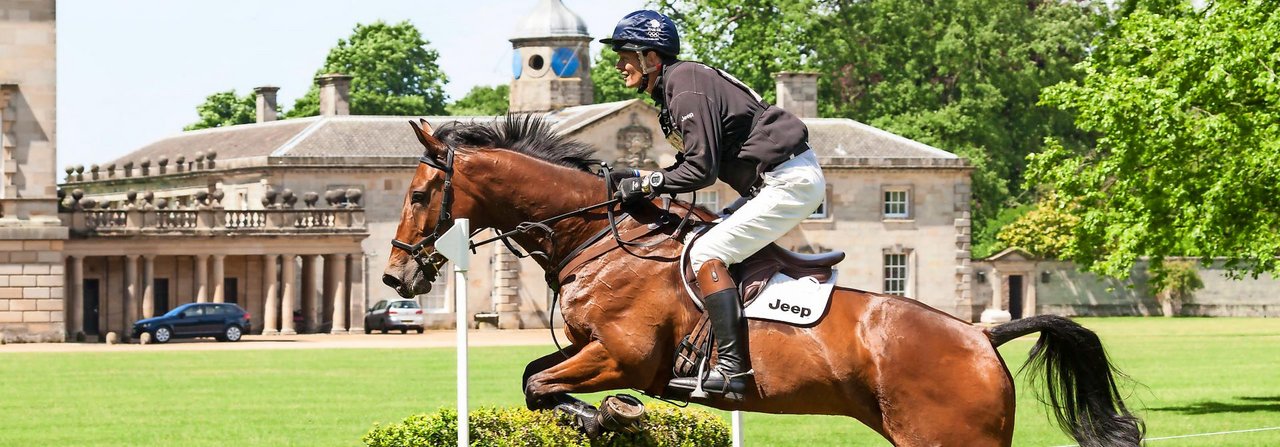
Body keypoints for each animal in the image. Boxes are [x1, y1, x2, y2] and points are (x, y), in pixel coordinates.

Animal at [378, 115, 1141, 445]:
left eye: (418, 194)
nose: (395, 275)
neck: (600, 238)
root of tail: (984, 338)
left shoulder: (624, 355)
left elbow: (543, 385)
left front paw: (612, 415)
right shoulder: (588, 350)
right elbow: (535, 379)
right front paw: (603, 418)